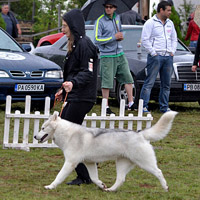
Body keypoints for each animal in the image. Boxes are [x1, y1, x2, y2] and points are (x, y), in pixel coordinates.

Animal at [34, 110, 177, 191]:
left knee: (159, 172)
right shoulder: (90, 163)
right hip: (121, 164)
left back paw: (165, 188)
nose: (35, 136)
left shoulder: (70, 163)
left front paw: (50, 186)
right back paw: (110, 190)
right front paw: (102, 185)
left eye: (42, 128)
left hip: (145, 163)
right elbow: (94, 178)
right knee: (121, 179)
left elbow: (58, 177)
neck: (66, 133)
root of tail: (140, 133)